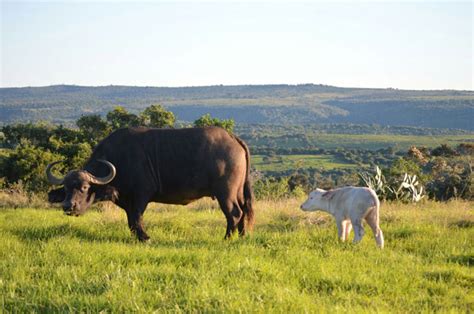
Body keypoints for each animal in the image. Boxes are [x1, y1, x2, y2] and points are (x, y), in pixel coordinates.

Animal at [47, 126, 256, 242]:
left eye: (83, 187)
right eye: (66, 188)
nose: (68, 206)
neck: (118, 161)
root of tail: (233, 139)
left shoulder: (141, 196)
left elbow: (137, 218)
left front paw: (145, 238)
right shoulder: (127, 201)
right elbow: (131, 220)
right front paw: (138, 237)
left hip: (225, 193)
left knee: (234, 213)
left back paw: (227, 238)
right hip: (237, 192)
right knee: (244, 210)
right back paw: (242, 236)